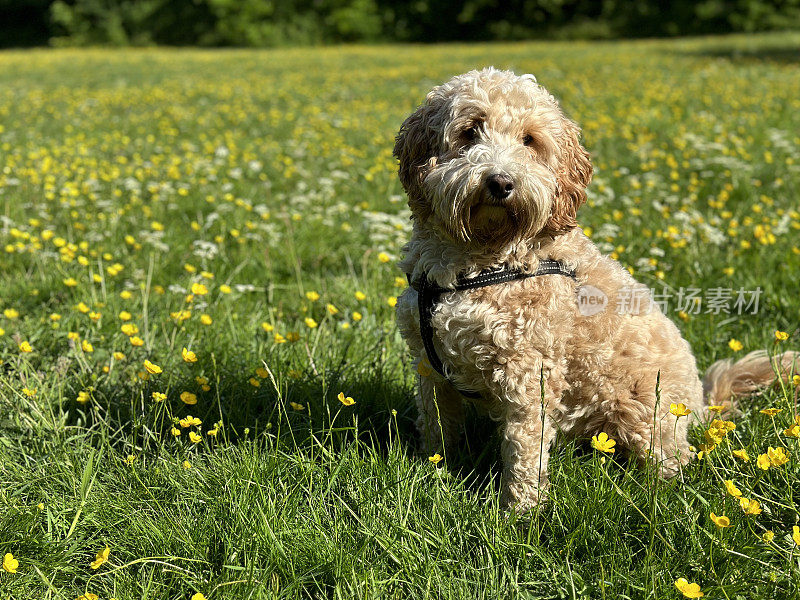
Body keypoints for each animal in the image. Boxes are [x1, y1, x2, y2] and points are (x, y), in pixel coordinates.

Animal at [396, 68, 800, 512]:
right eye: (469, 130)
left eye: (530, 140)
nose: (501, 182)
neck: (483, 261)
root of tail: (700, 405)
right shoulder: (429, 365)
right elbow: (438, 426)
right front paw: (432, 470)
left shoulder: (530, 375)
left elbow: (524, 450)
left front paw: (519, 513)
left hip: (646, 412)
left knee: (673, 461)